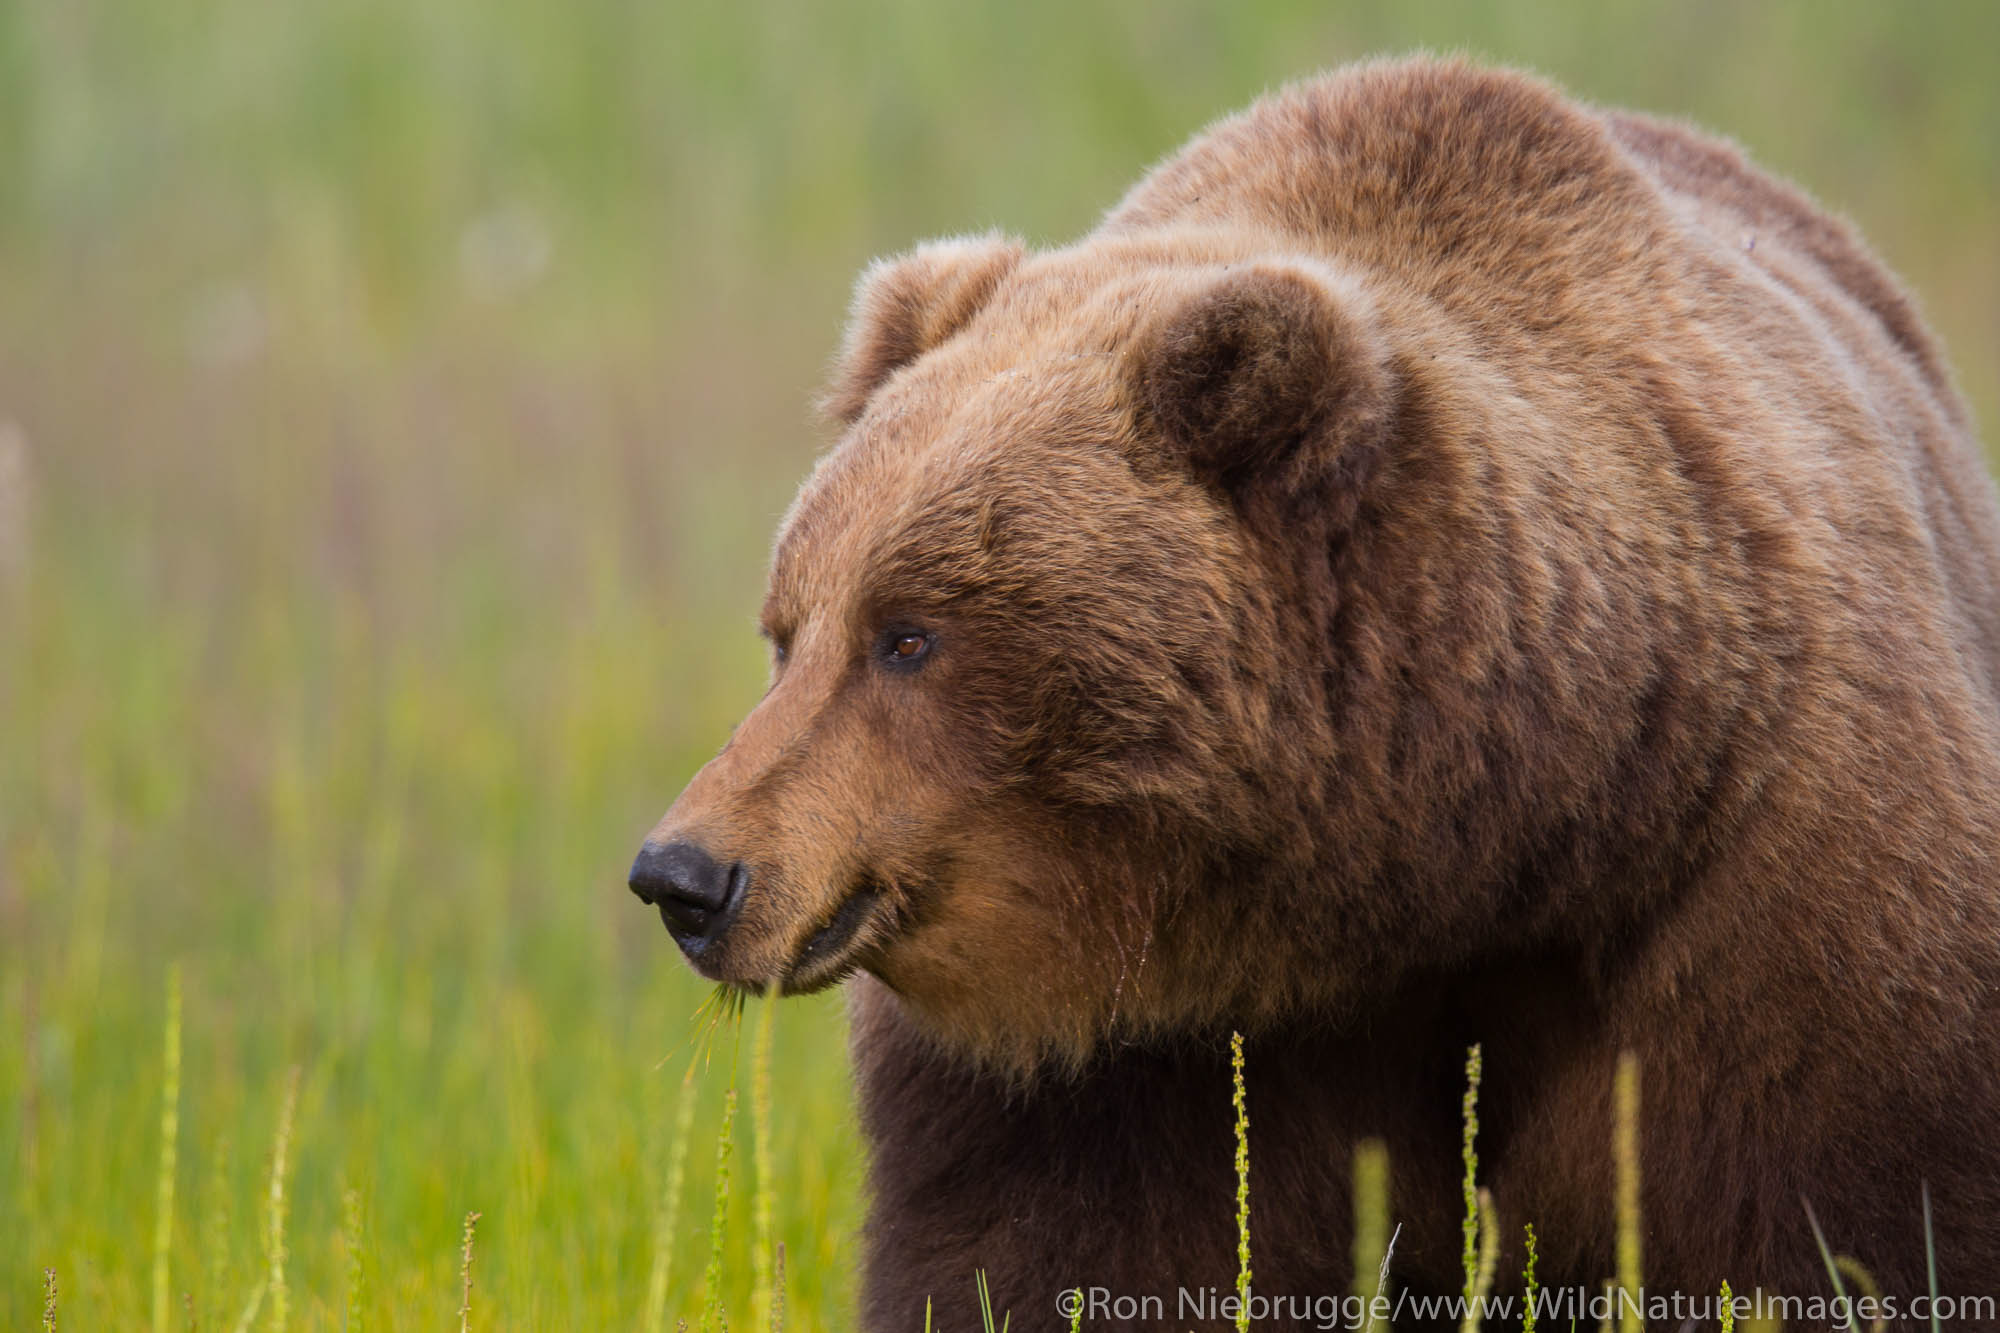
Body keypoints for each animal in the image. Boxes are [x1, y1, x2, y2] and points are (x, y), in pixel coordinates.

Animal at [632, 59, 2000, 1320]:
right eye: (788, 630)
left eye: (908, 634)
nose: (684, 873)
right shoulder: (1138, 1069)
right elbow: (1052, 1258)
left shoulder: (1770, 909)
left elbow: (1840, 1216)